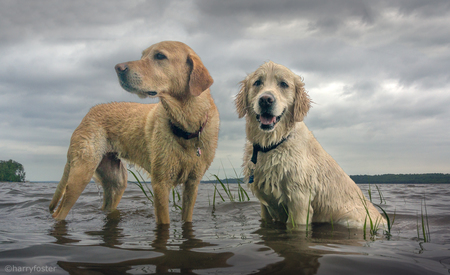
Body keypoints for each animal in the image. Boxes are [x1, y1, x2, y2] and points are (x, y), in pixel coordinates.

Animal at [49, 42, 220, 225]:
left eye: (160, 56)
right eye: (143, 55)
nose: (118, 67)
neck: (185, 126)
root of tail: (90, 112)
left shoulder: (192, 184)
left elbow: (187, 218)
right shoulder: (160, 183)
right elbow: (164, 221)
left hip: (116, 183)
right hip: (81, 174)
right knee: (59, 212)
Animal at [234, 62, 384, 229]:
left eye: (283, 84)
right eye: (257, 82)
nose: (266, 100)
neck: (273, 144)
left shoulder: (299, 200)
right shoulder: (265, 205)